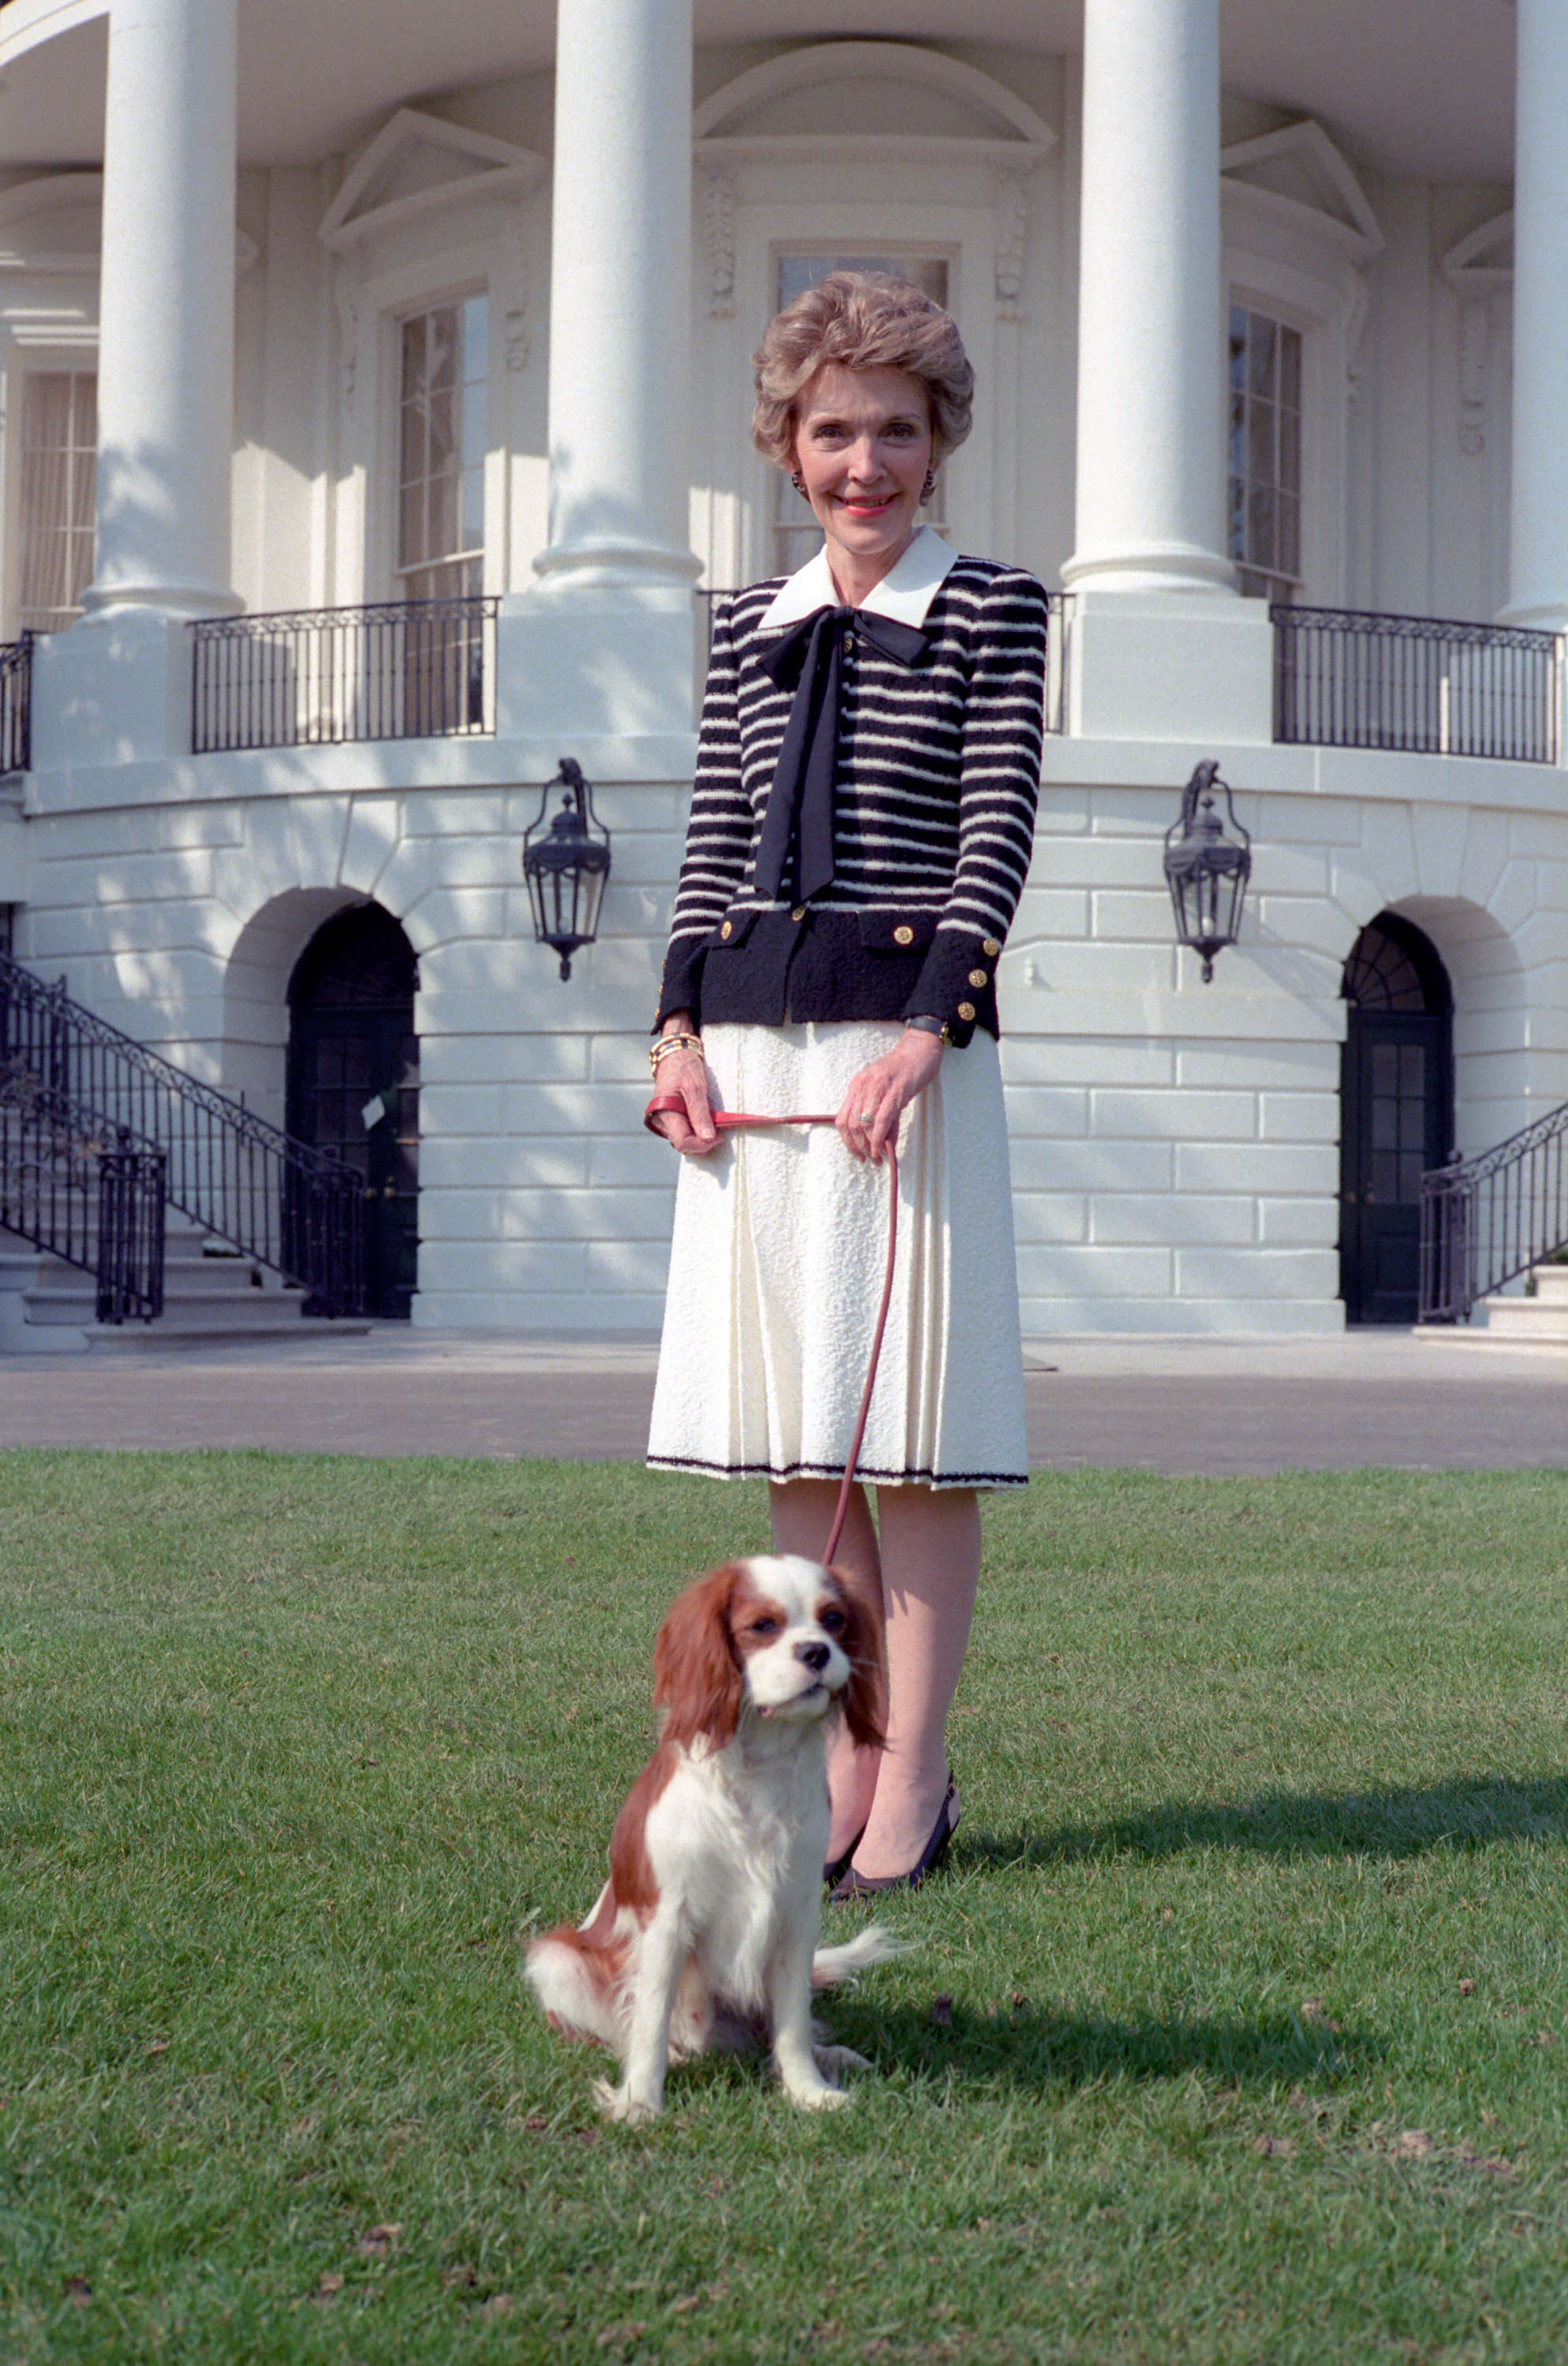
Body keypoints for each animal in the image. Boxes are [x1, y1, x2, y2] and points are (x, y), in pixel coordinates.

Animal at [525, 1552, 903, 2129]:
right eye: (763, 1626)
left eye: (834, 1620)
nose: (817, 1651)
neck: (759, 1765)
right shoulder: (667, 1922)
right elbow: (650, 2019)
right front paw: (640, 2101)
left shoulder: (795, 1916)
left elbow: (792, 2022)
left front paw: (808, 2091)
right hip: (557, 1960)